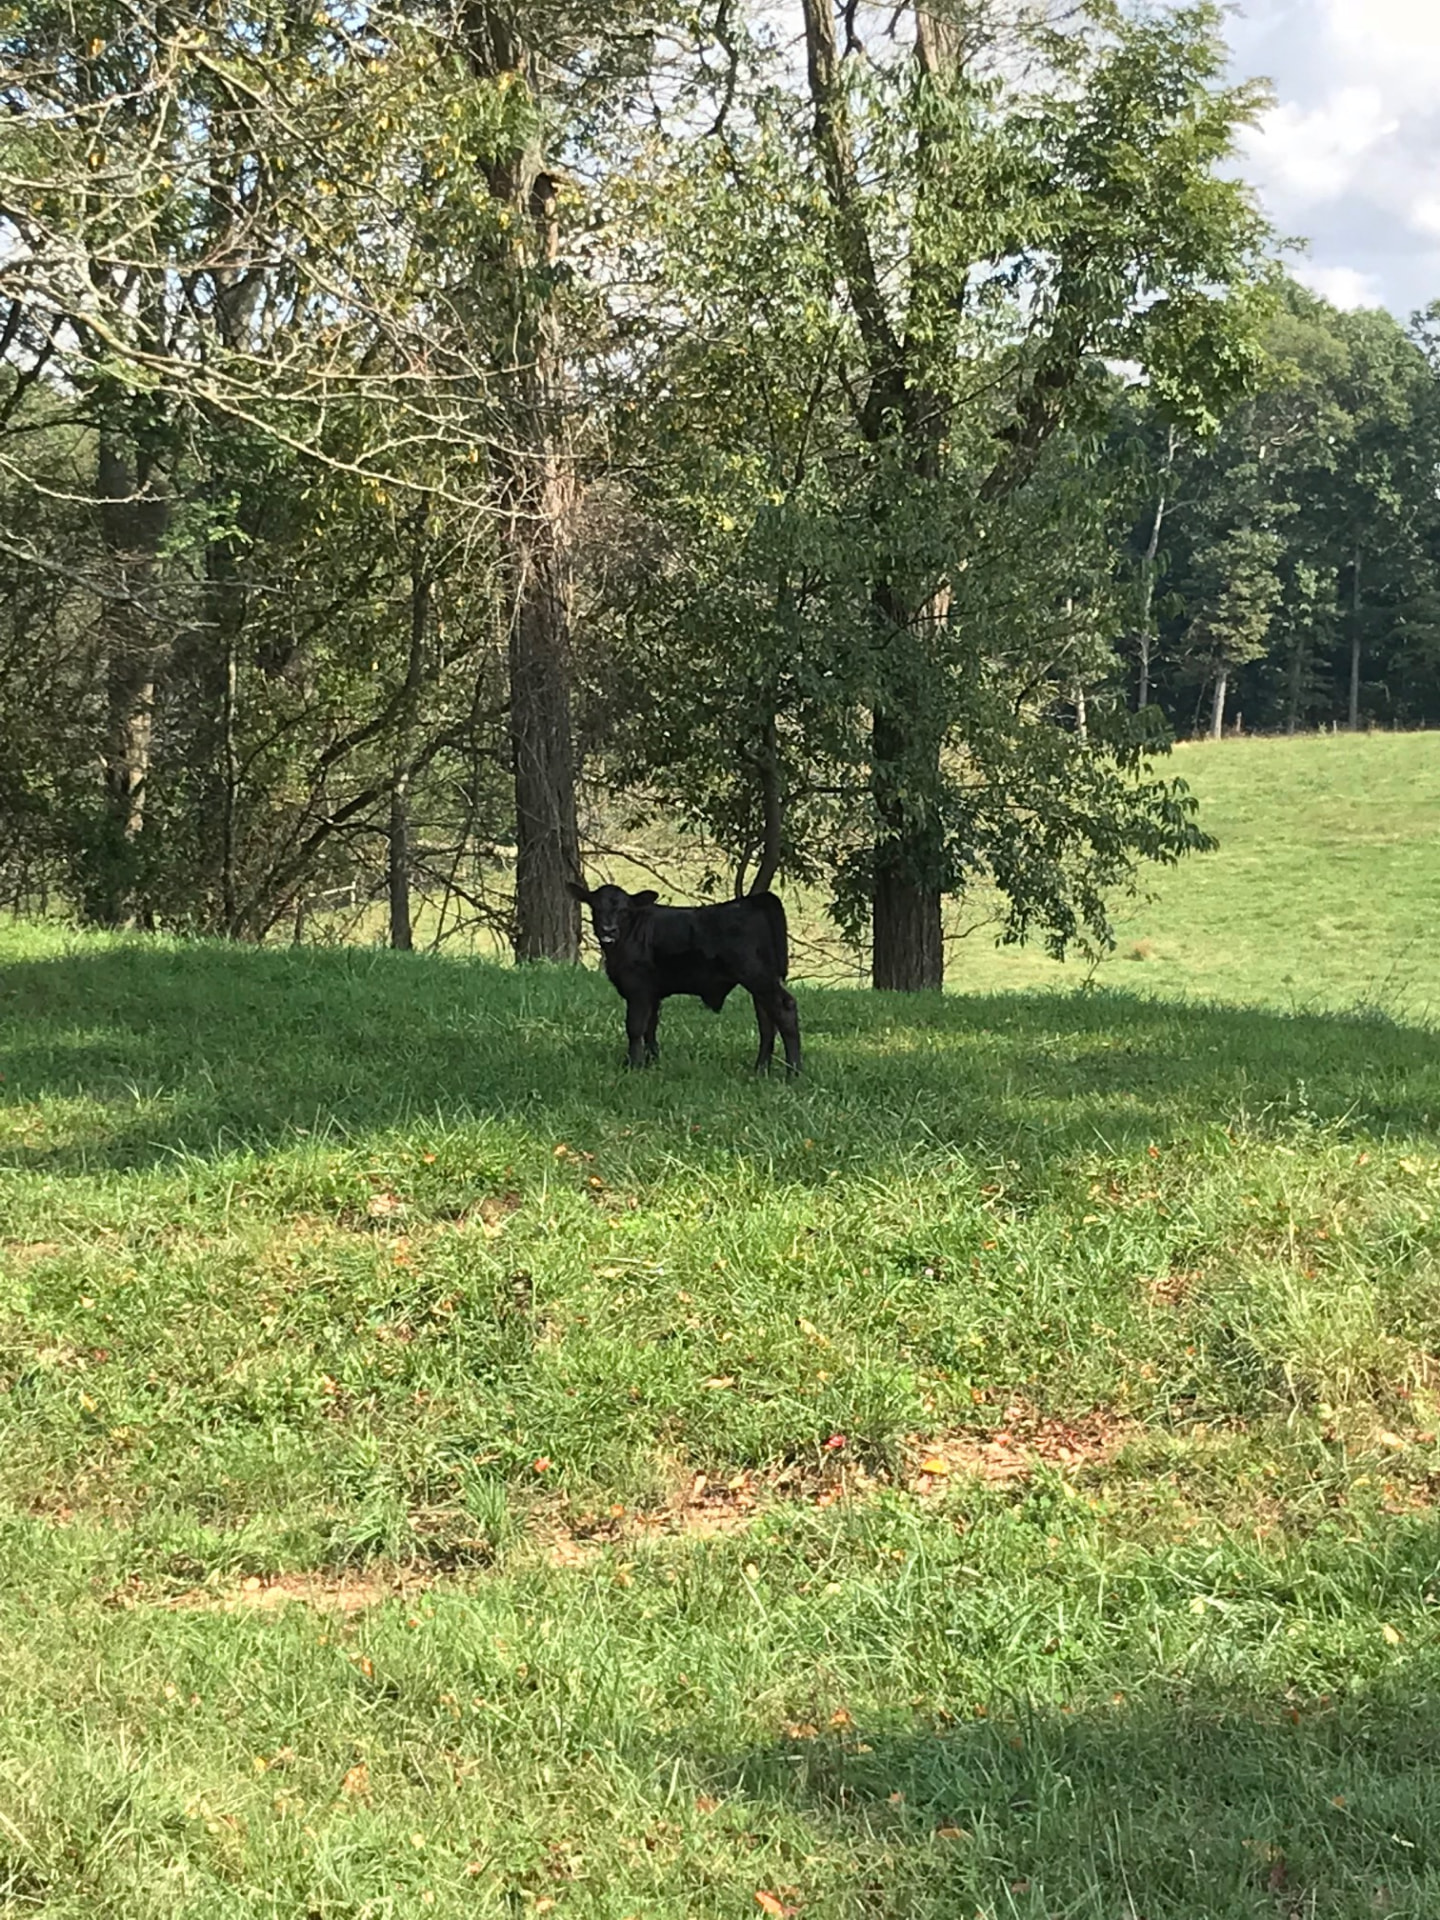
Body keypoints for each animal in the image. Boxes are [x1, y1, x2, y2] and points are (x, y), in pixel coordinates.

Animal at [568, 881, 802, 1075]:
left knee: (784, 1010)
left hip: (756, 975)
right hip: (762, 980)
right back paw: (760, 1070)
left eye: (624, 910)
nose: (608, 930)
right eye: (596, 907)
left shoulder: (638, 989)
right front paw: (652, 1062)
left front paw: (634, 1065)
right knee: (767, 1020)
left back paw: (793, 1073)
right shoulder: (653, 993)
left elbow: (634, 1027)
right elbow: (650, 1027)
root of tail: (753, 901)